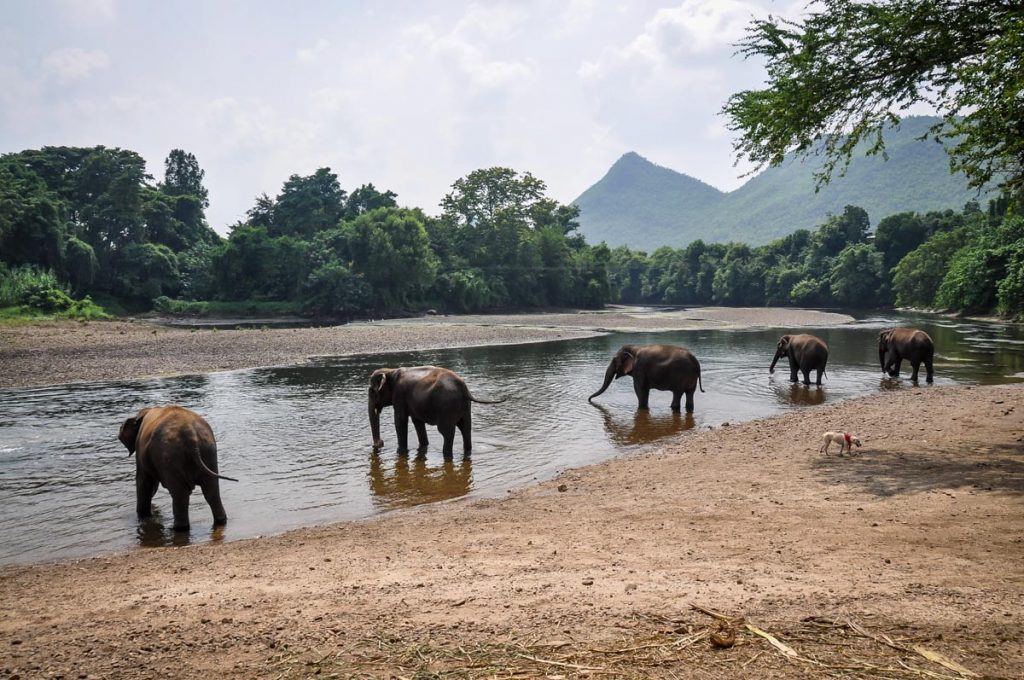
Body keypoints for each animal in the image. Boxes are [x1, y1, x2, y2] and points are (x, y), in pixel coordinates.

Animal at [117, 403, 235, 532]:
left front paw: (143, 517)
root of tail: (191, 436)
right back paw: (220, 521)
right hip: (209, 452)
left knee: (180, 495)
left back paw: (177, 529)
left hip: (170, 457)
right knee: (211, 491)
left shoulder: (140, 451)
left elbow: (143, 481)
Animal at [372, 366, 507, 456]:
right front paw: (423, 446)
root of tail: (464, 389)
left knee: (446, 432)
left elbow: (400, 420)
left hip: (447, 407)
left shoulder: (399, 395)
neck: (390, 371)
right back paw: (466, 451)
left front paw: (401, 452)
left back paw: (447, 456)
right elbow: (417, 422)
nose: (380, 443)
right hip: (464, 407)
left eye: (373, 391)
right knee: (465, 429)